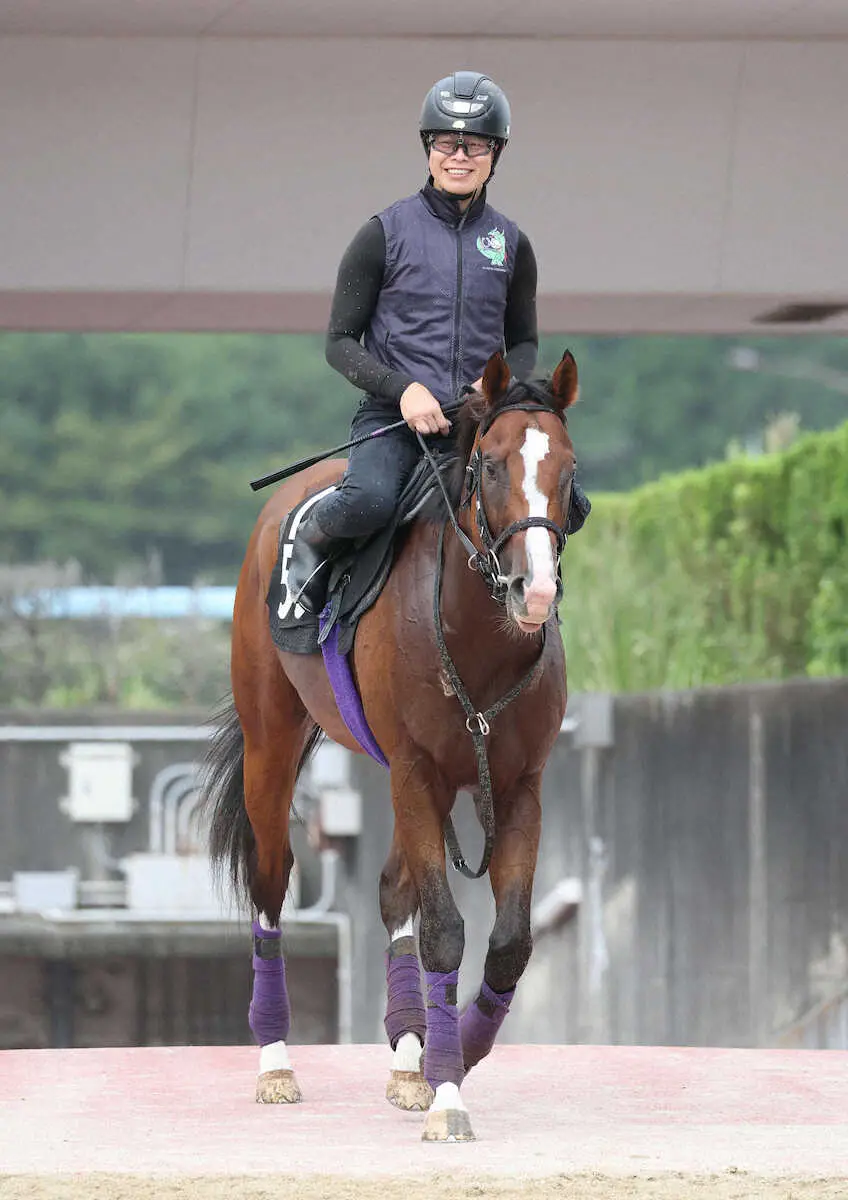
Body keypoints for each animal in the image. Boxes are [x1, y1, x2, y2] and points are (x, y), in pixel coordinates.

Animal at [202, 350, 580, 1142]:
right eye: (491, 465)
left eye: (567, 469)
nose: (533, 591)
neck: (476, 642)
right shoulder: (415, 770)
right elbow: (443, 928)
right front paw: (448, 1094)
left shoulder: (518, 785)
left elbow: (509, 941)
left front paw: (454, 1052)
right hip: (273, 742)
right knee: (271, 882)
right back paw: (275, 1061)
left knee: (390, 888)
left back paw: (410, 1057)